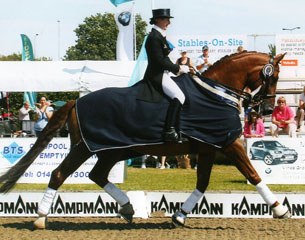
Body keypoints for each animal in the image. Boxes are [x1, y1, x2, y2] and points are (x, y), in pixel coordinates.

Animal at [0, 51, 288, 229]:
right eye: (273, 76)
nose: (266, 110)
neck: (216, 93)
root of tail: (76, 102)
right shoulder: (229, 144)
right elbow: (253, 174)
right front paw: (280, 209)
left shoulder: (208, 148)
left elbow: (203, 184)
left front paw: (179, 216)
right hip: (84, 148)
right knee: (59, 174)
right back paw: (40, 219)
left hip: (111, 151)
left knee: (97, 174)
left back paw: (128, 208)